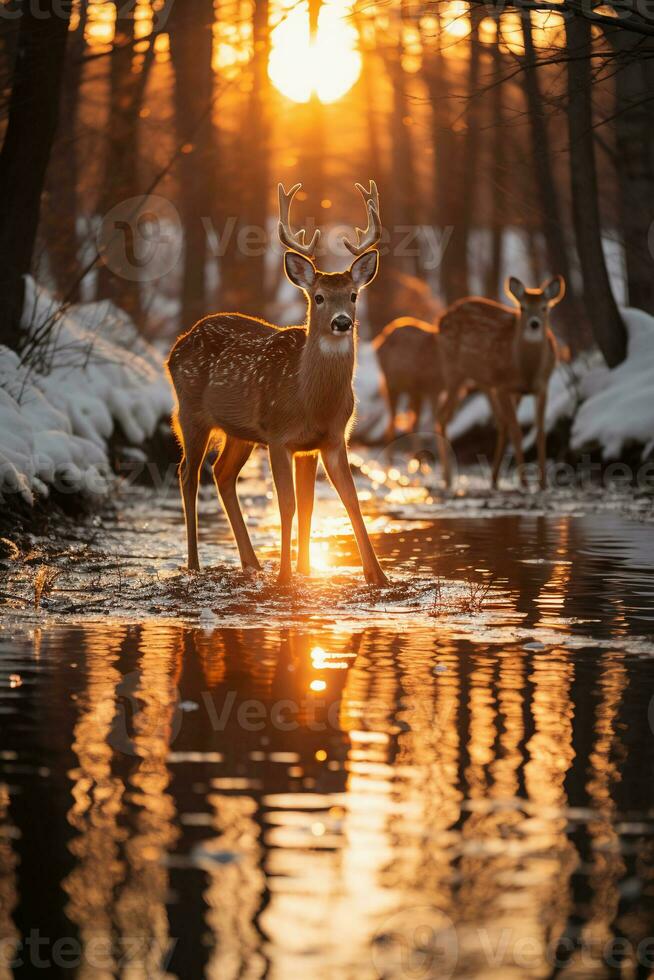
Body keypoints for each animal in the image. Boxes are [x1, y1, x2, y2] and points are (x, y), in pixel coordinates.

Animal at [167, 181, 390, 584]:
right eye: (318, 297)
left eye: (353, 295)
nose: (342, 322)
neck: (309, 400)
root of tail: (177, 345)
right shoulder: (277, 435)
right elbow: (287, 504)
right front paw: (286, 576)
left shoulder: (329, 440)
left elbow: (339, 501)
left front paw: (372, 576)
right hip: (190, 414)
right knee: (187, 474)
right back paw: (194, 564)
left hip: (238, 431)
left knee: (222, 473)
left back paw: (252, 563)